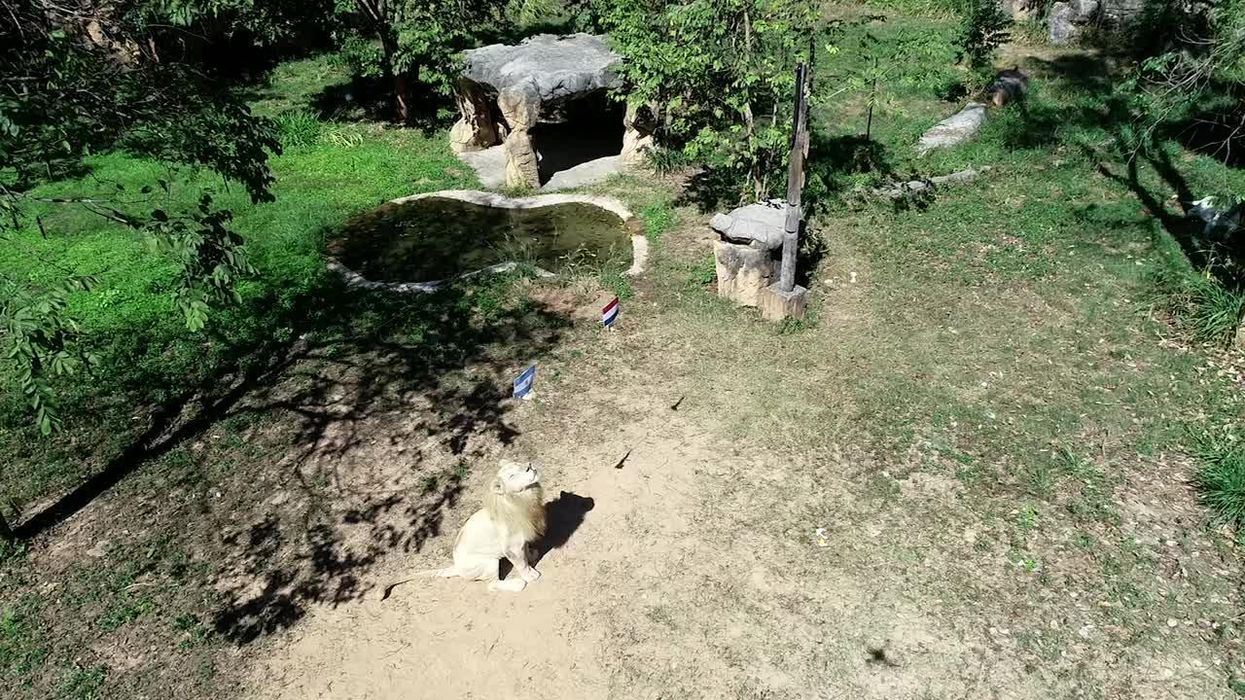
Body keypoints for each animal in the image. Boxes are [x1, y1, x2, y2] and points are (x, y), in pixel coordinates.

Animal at [417, 459, 547, 593]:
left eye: (517, 463)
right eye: (511, 476)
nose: (529, 466)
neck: (524, 498)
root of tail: (456, 567)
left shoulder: (523, 536)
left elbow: (526, 550)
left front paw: (532, 555)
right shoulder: (512, 547)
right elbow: (522, 563)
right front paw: (531, 575)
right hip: (489, 563)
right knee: (492, 584)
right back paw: (517, 584)